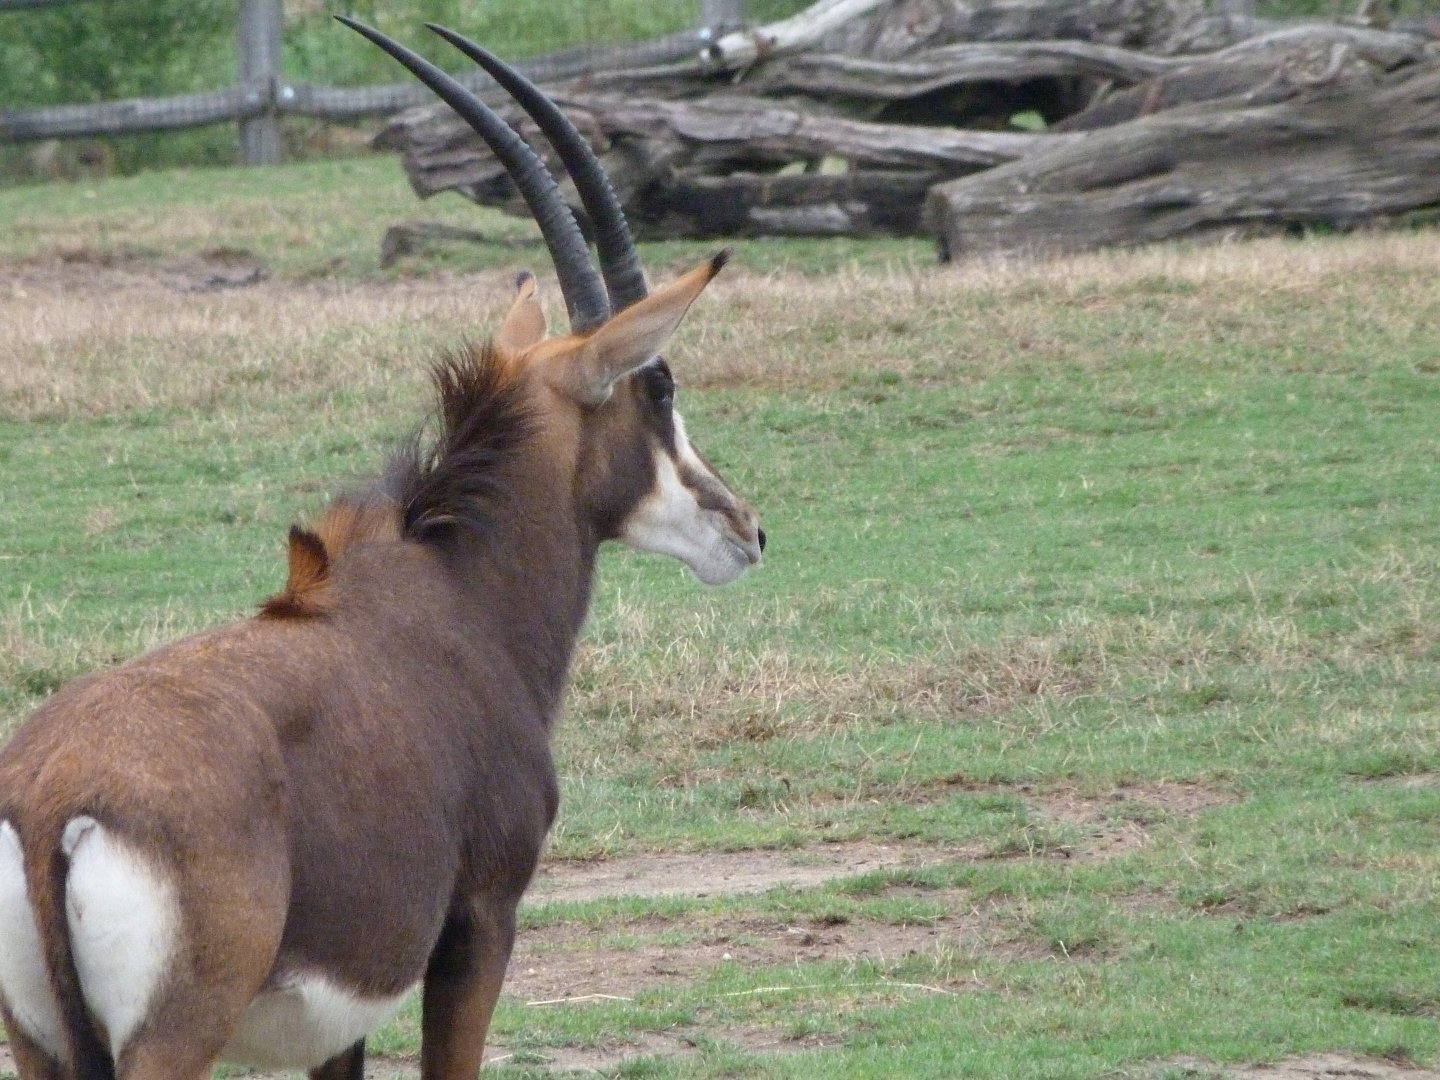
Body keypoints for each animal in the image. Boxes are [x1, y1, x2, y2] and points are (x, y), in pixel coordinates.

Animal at [0, 21, 763, 1080]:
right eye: (659, 386)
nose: (745, 527)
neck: (457, 601)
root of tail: (48, 798)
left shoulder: (343, 1014)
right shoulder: (480, 921)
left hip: (40, 1043)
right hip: (175, 1039)